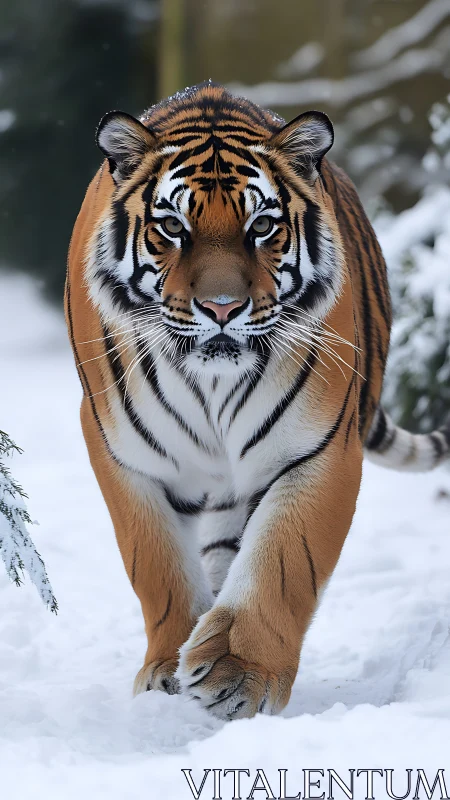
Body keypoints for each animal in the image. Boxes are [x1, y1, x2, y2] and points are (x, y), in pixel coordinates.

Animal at [65, 81, 450, 720]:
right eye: (173, 228)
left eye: (262, 226)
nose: (222, 308)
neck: (212, 383)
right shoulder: (123, 454)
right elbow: (158, 568)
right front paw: (167, 672)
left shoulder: (318, 449)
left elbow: (284, 562)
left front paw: (237, 673)